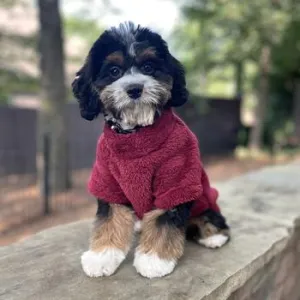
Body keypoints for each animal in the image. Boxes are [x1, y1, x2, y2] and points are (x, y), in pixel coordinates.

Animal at [71, 21, 230, 278]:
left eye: (148, 67)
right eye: (114, 71)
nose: (135, 88)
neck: (136, 134)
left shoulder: (176, 179)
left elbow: (163, 220)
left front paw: (154, 260)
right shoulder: (108, 179)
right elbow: (110, 218)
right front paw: (102, 256)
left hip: (205, 198)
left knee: (211, 216)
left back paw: (213, 235)